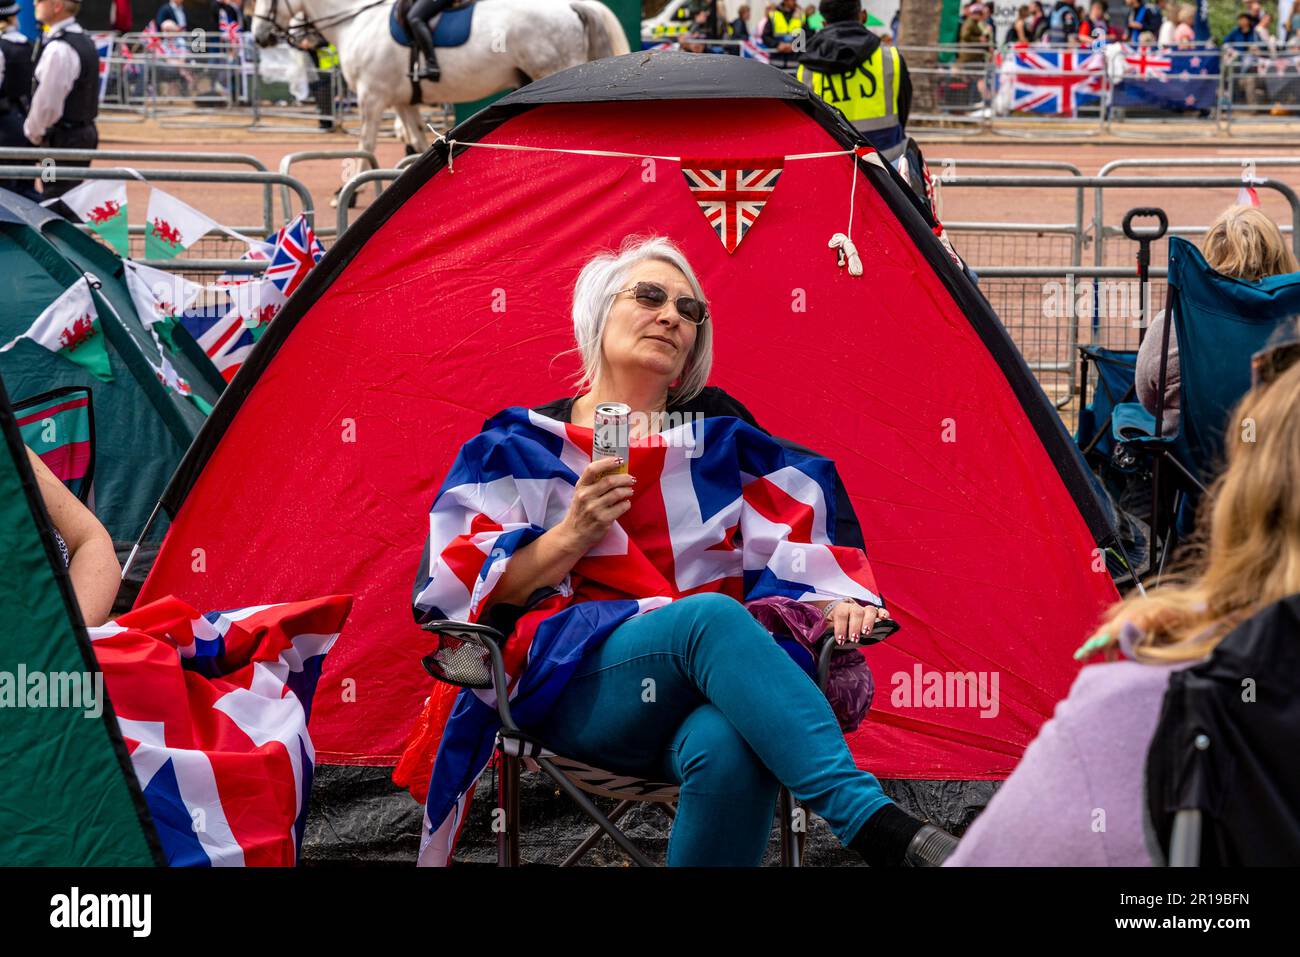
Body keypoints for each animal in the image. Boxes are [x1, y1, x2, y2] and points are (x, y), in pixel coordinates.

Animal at [252, 0, 629, 157]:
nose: (259, 36)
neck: (355, 22)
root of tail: (571, 5)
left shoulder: (372, 97)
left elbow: (365, 147)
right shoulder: (403, 102)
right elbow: (417, 142)